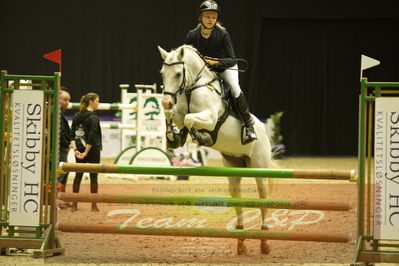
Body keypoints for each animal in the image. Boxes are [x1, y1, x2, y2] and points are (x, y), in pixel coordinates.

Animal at [158, 44, 274, 255]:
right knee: (238, 199)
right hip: (234, 169)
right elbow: (176, 116)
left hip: (260, 169)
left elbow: (190, 119)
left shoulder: (210, 117)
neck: (192, 87)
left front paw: (203, 137)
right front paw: (174, 137)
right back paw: (241, 242)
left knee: (263, 202)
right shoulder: (178, 112)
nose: (166, 101)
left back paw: (264, 243)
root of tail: (263, 131)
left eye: (178, 74)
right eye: (162, 73)